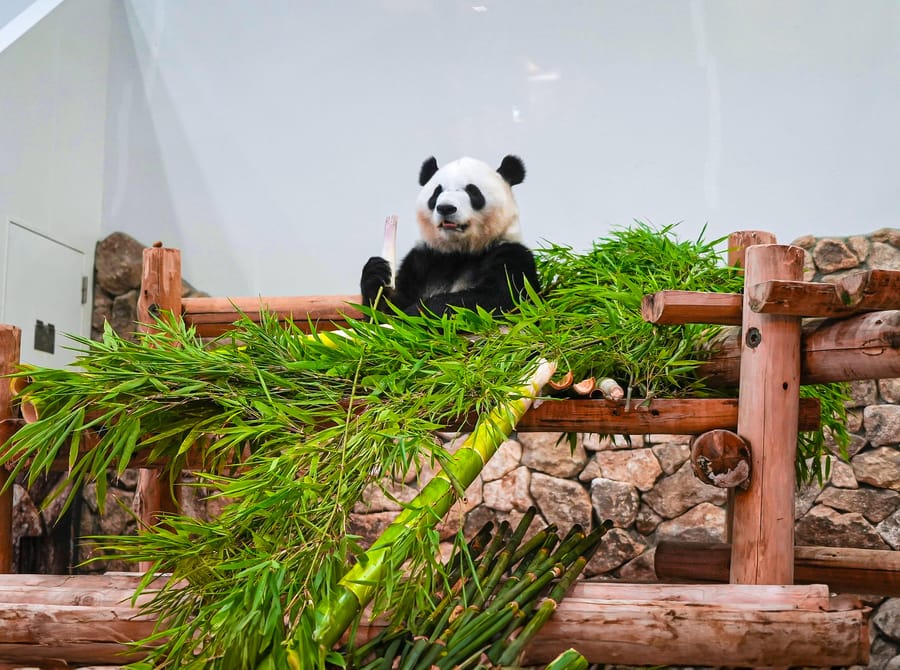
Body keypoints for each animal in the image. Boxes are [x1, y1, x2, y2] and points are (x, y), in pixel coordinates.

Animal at [360, 155, 539, 316]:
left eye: (473, 191)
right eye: (436, 192)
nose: (446, 208)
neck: (459, 252)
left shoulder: (512, 254)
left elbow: (499, 298)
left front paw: (417, 314)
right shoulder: (422, 260)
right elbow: (387, 309)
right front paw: (376, 273)